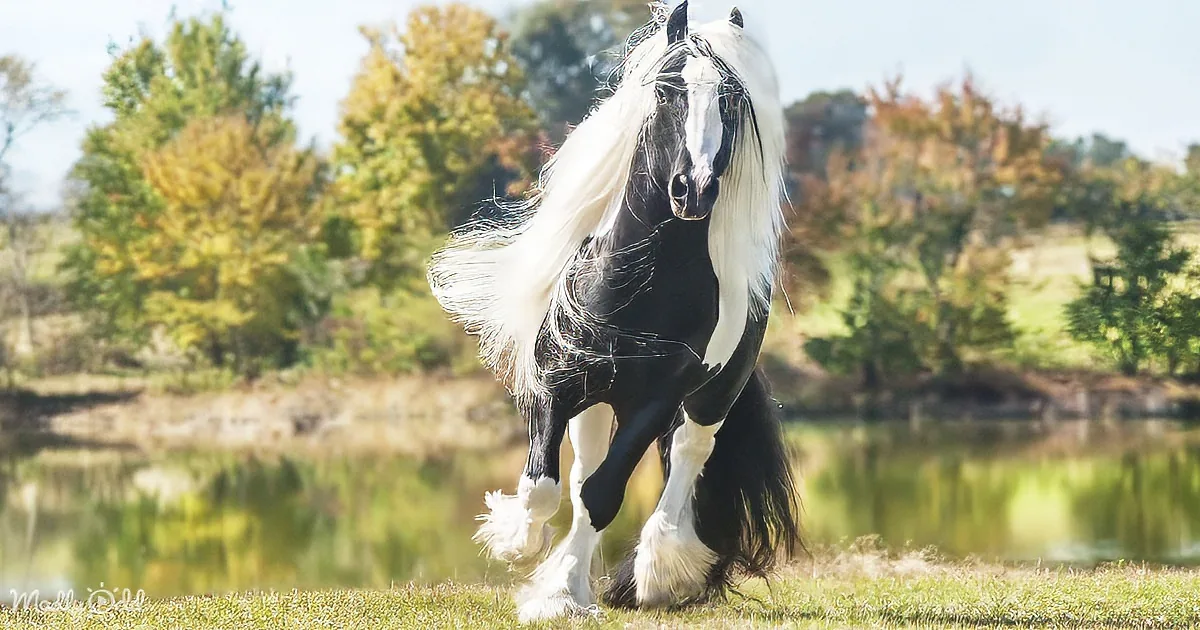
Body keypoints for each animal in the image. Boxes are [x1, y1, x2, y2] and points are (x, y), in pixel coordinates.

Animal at [427, 1, 800, 622]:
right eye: (668, 91)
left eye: (728, 101)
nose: (694, 190)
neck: (639, 284)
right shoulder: (557, 385)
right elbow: (546, 488)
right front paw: (519, 546)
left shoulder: (656, 400)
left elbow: (603, 495)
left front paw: (559, 593)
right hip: (599, 402)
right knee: (584, 471)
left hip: (707, 397)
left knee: (687, 455)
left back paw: (657, 576)